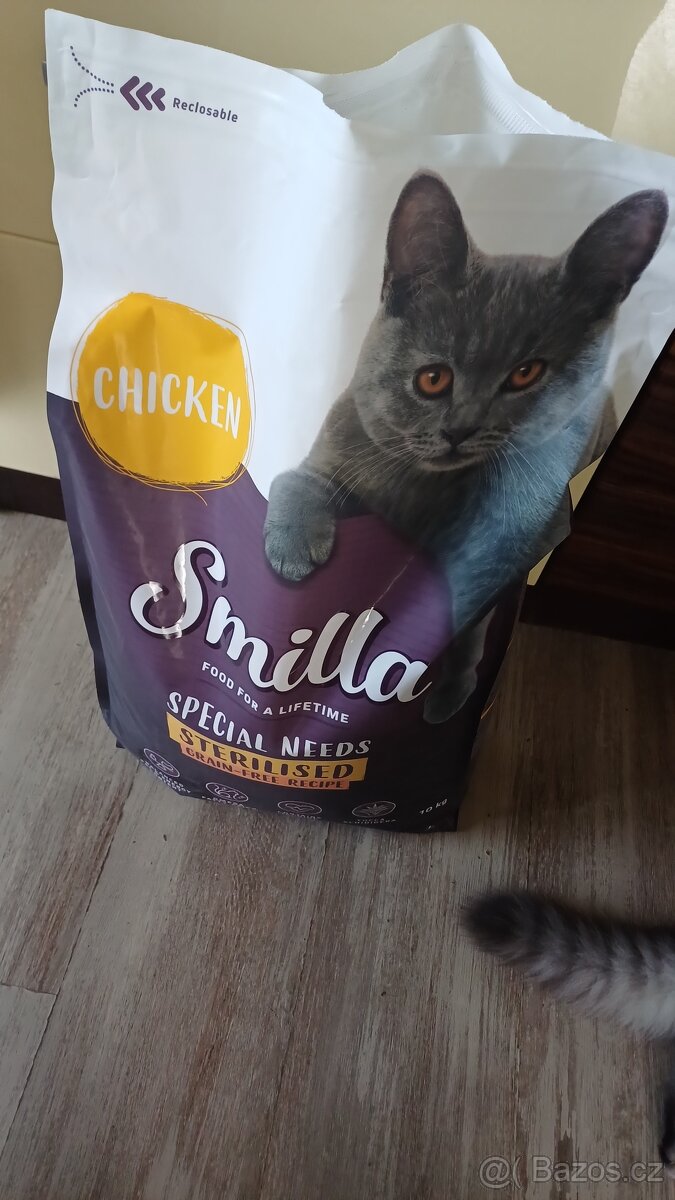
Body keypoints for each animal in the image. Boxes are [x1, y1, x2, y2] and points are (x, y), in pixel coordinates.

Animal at [264, 172, 667, 722]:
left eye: (526, 373)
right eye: (433, 378)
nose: (460, 429)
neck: (419, 495)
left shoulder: (499, 553)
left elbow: (466, 623)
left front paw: (450, 692)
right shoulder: (338, 447)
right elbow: (295, 477)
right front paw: (292, 544)